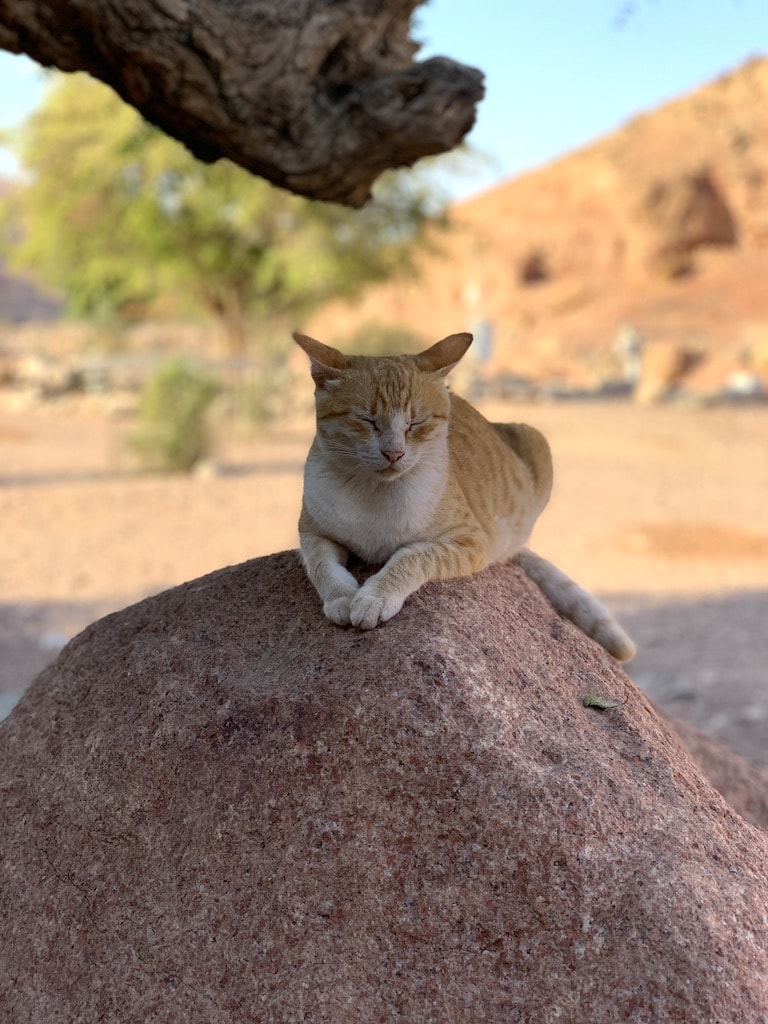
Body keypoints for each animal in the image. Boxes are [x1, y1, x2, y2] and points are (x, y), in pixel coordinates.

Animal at [294, 329, 638, 663]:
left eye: (416, 423)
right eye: (366, 420)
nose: (394, 453)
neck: (374, 495)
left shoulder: (471, 542)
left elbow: (410, 557)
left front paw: (374, 598)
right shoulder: (312, 532)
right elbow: (321, 565)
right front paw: (342, 598)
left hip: (534, 441)